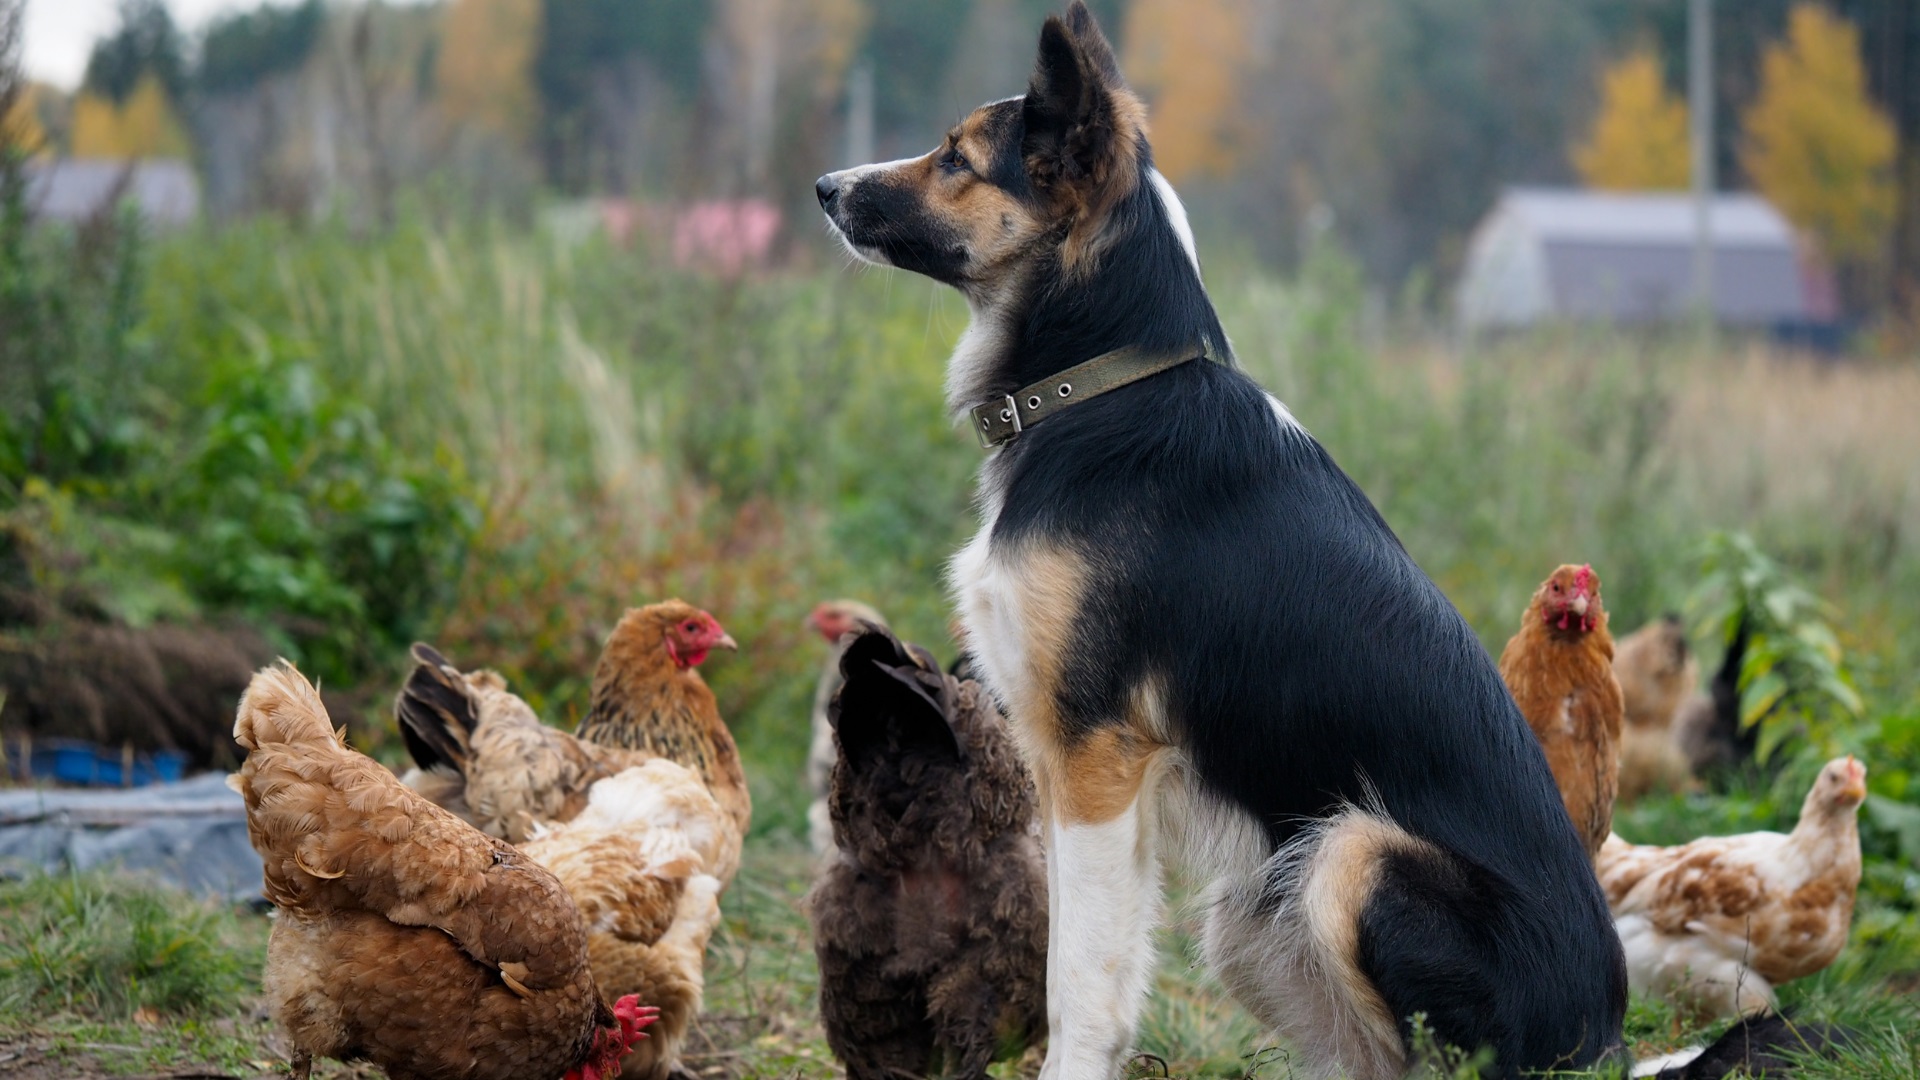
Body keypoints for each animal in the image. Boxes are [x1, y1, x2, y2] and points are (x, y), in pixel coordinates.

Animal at [817, 4, 1628, 1068]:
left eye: (956, 157)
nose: (825, 188)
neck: (1099, 385)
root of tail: (1607, 1032)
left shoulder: (1096, 760)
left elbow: (1078, 980)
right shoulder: (1071, 772)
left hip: (1352, 856)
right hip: (1255, 913)